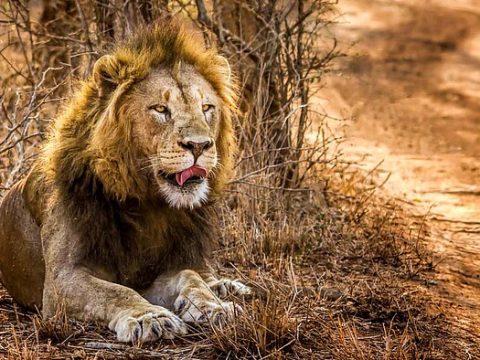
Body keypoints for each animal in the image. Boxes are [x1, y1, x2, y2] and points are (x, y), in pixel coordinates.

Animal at [0, 20, 253, 344]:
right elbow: (116, 292)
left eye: (207, 108)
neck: (148, 204)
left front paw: (214, 307)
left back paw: (225, 288)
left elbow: (190, 277)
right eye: (160, 109)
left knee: (202, 270)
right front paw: (152, 317)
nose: (199, 145)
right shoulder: (61, 281)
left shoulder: (158, 269)